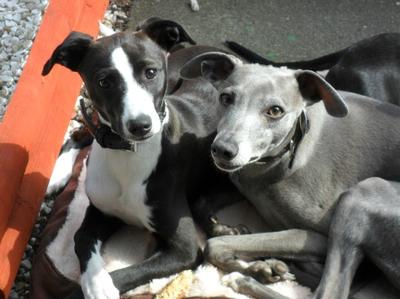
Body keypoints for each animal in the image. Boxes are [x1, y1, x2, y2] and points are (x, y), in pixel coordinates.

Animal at [42, 18, 241, 299]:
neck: (128, 154)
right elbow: (80, 237)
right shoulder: (102, 210)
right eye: (103, 82)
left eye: (150, 72)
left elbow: (128, 273)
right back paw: (57, 174)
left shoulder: (184, 249)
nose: (140, 126)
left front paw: (100, 286)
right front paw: (96, 282)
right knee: (82, 131)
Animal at [180, 54, 400, 299]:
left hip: (363, 194)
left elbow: (214, 245)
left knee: (329, 292)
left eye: (275, 111)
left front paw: (253, 267)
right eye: (226, 98)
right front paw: (230, 234)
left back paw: (247, 278)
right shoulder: (245, 182)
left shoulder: (317, 237)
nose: (222, 150)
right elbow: (201, 202)